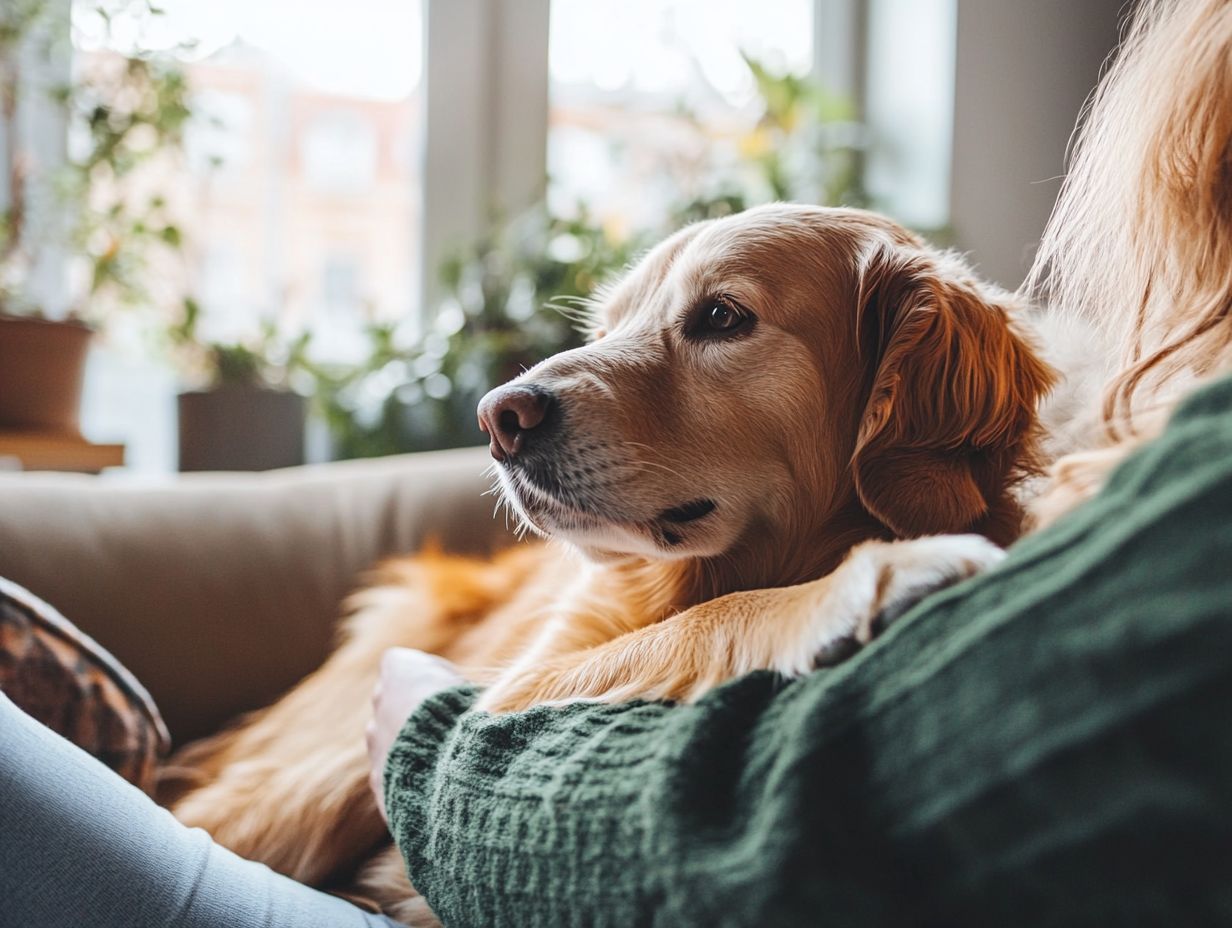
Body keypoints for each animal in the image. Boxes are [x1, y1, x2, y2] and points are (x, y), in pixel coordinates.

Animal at [166, 202, 1059, 921]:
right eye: (604, 330)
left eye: (723, 316)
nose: (497, 417)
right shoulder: (512, 687)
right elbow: (706, 622)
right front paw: (871, 579)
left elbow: (699, 620)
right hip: (305, 791)